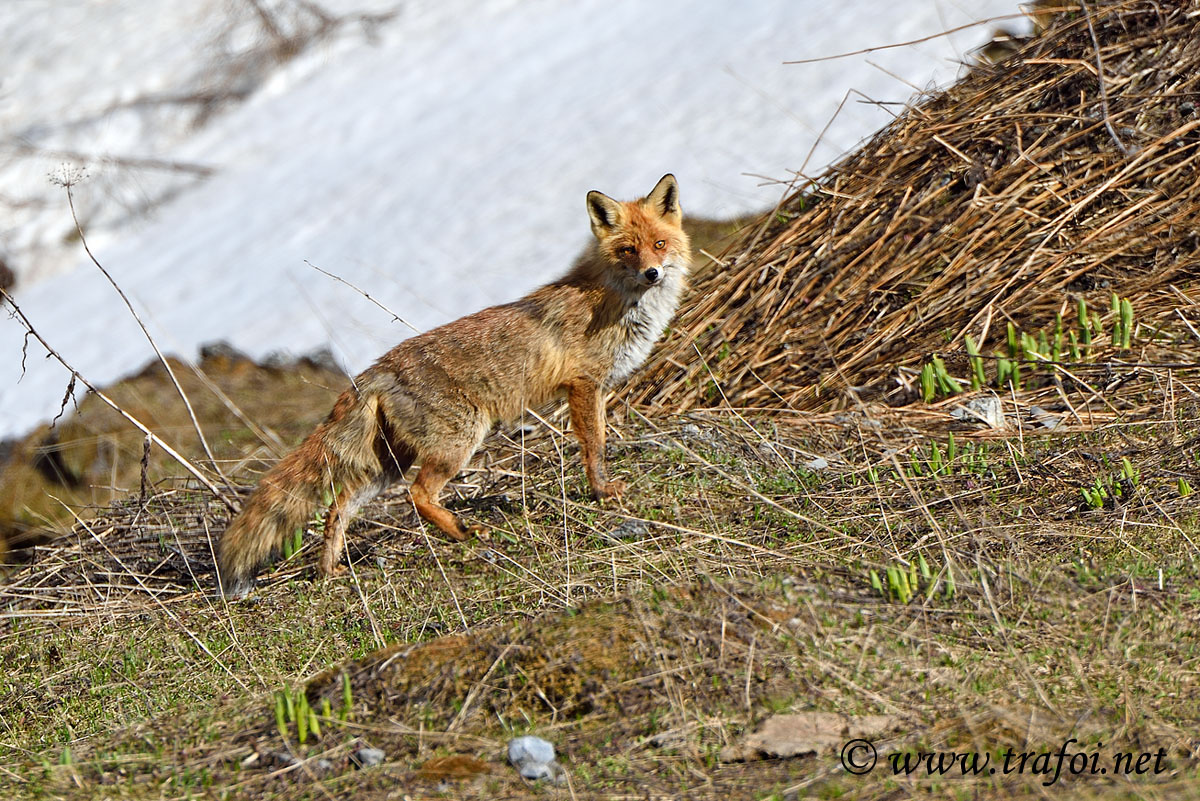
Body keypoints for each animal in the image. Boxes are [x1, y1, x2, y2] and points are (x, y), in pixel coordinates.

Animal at [216, 174, 690, 597]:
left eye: (659, 245)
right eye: (628, 250)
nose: (652, 273)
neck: (616, 302)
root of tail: (375, 369)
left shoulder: (599, 389)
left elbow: (602, 439)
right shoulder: (583, 385)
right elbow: (594, 447)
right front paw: (600, 492)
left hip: (388, 465)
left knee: (340, 505)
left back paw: (329, 569)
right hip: (457, 443)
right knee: (419, 496)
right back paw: (464, 532)